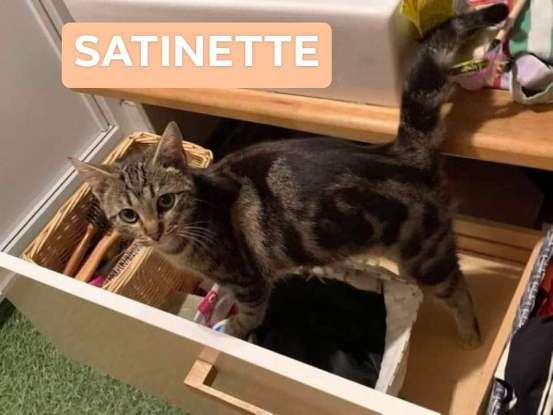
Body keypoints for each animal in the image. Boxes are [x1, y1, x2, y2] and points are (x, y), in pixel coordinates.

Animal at [71, 4, 508, 349]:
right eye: (128, 215)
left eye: (165, 201)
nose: (153, 230)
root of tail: (401, 150)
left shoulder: (249, 282)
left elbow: (248, 314)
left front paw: (232, 329)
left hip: (426, 254)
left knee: (459, 287)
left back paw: (470, 335)